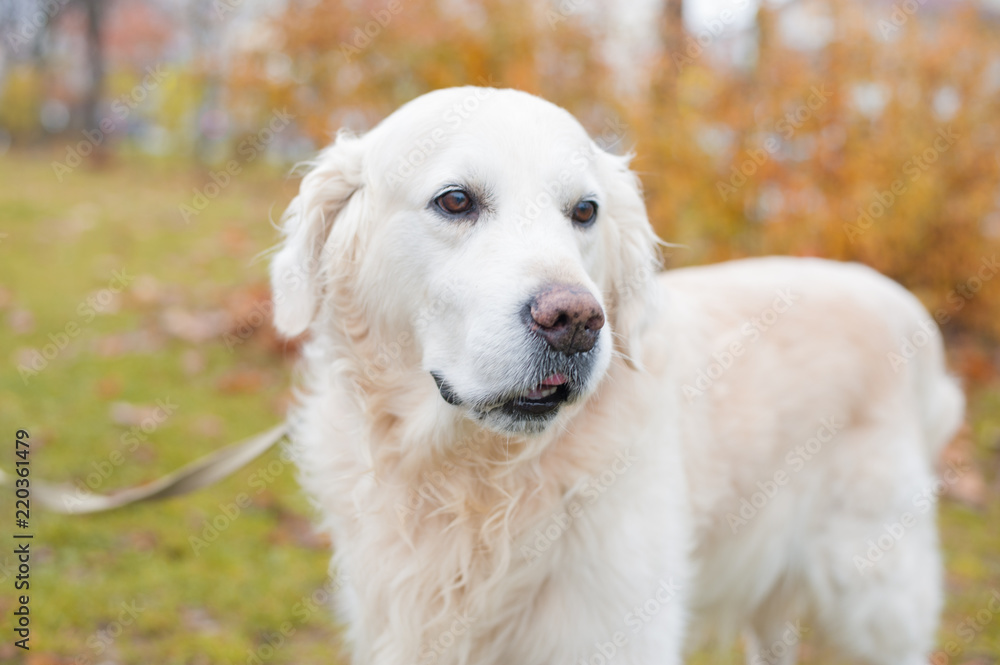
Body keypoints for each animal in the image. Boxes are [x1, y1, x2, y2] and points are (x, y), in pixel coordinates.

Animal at [270, 88, 964, 664]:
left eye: (584, 211)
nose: (575, 321)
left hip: (876, 596)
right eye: (456, 200)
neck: (475, 483)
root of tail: (909, 311)